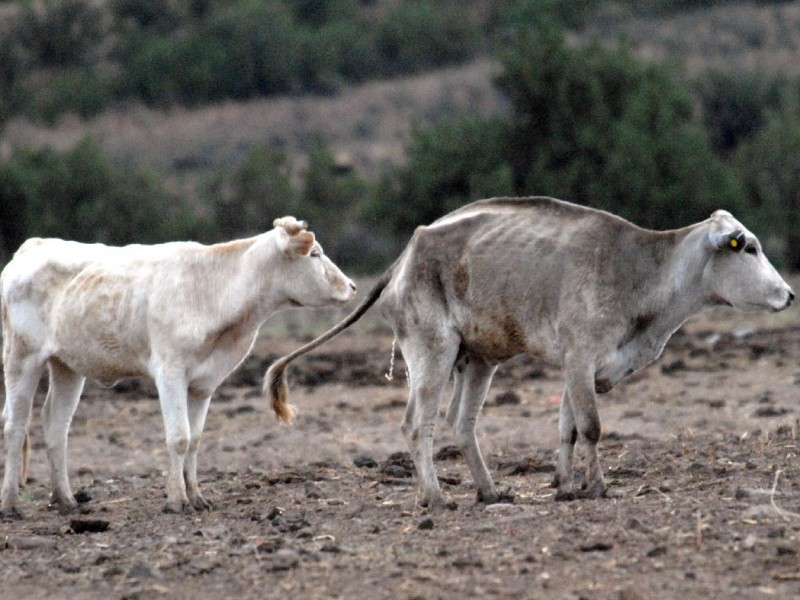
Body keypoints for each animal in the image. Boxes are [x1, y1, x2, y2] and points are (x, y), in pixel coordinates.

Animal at [0, 216, 356, 516]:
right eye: (315, 254)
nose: (352, 286)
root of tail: (32, 246)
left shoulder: (203, 384)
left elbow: (195, 439)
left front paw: (196, 496)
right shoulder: (169, 372)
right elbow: (179, 437)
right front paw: (176, 499)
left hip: (68, 365)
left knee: (56, 426)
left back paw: (66, 500)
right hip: (21, 357)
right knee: (15, 425)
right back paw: (11, 505)